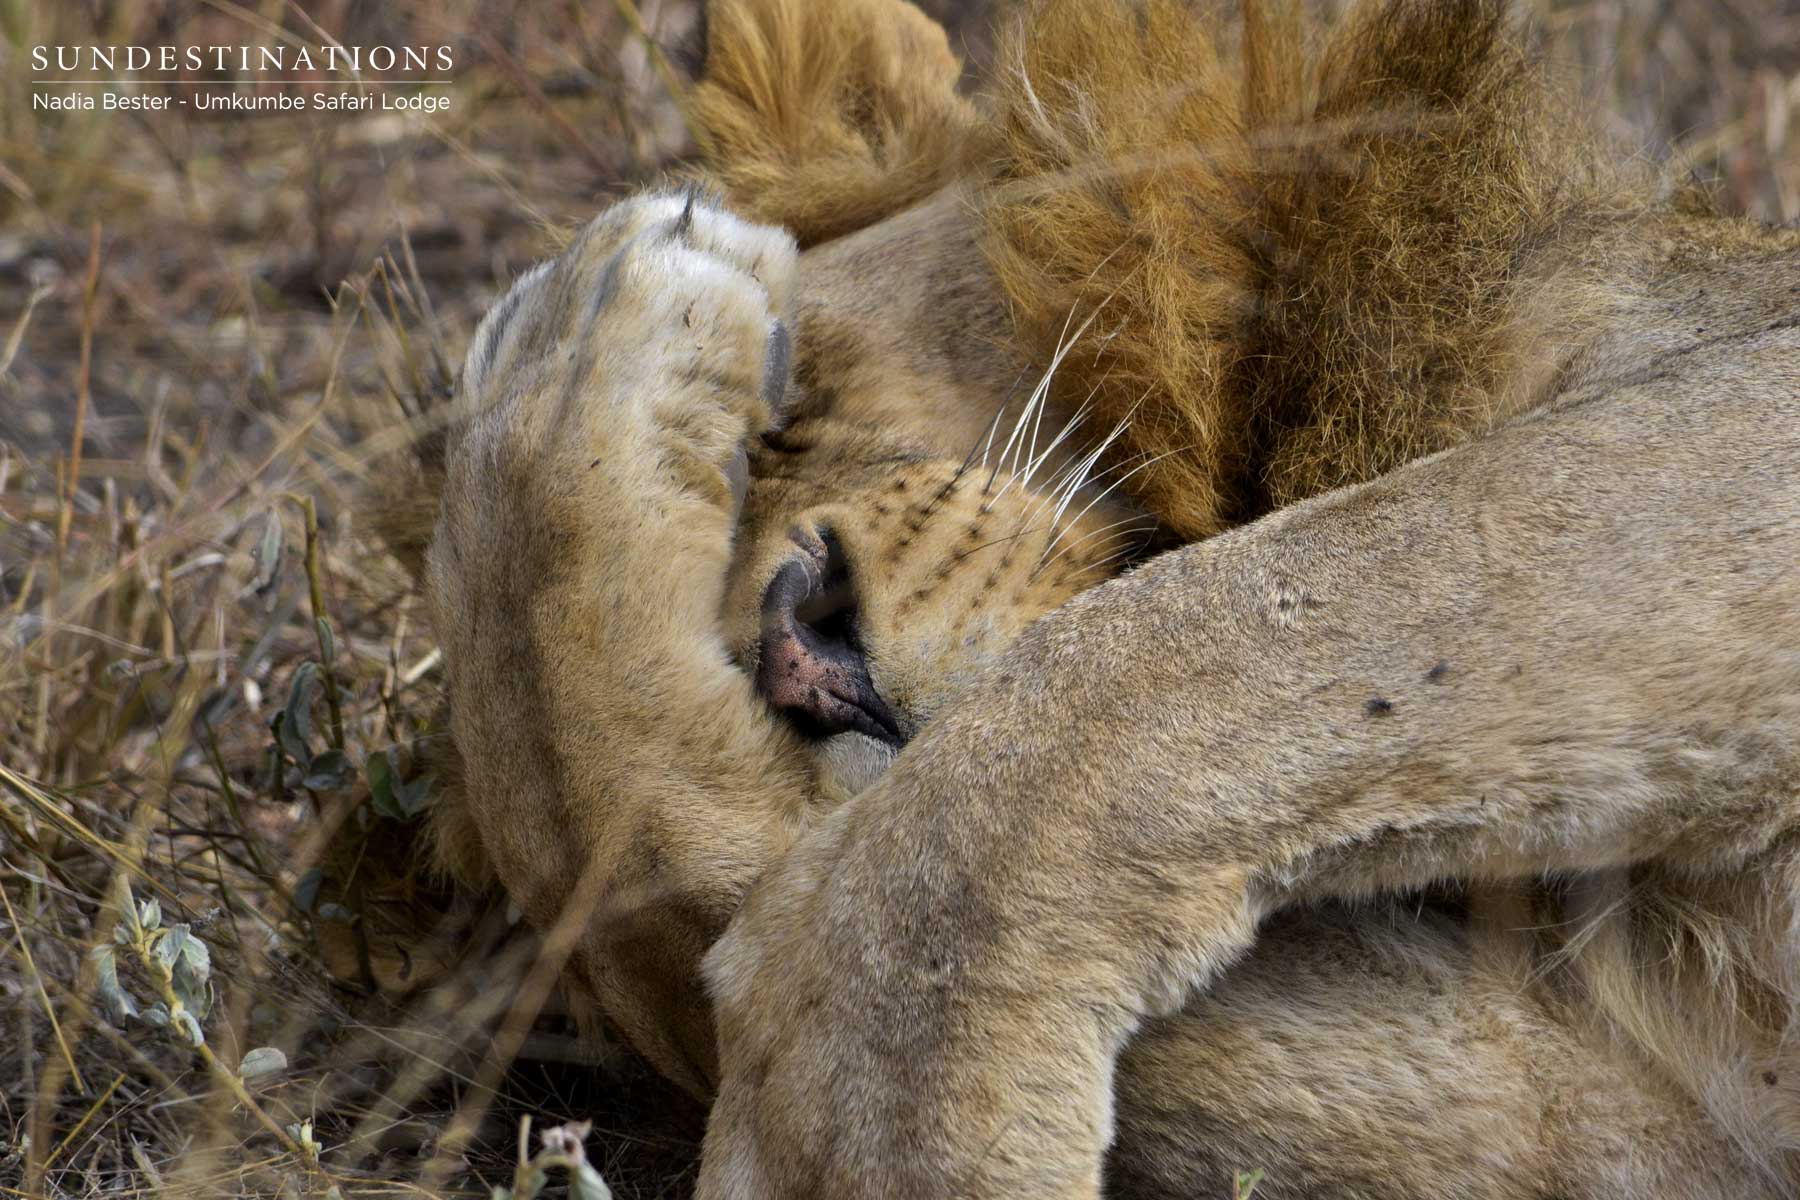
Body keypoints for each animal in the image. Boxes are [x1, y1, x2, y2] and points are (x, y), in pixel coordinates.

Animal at [369, 0, 1800, 1195]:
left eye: (795, 402)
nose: (796, 661)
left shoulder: (1739, 421)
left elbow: (1172, 666)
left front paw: (864, 1109)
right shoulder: (1649, 1114)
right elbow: (635, 863)